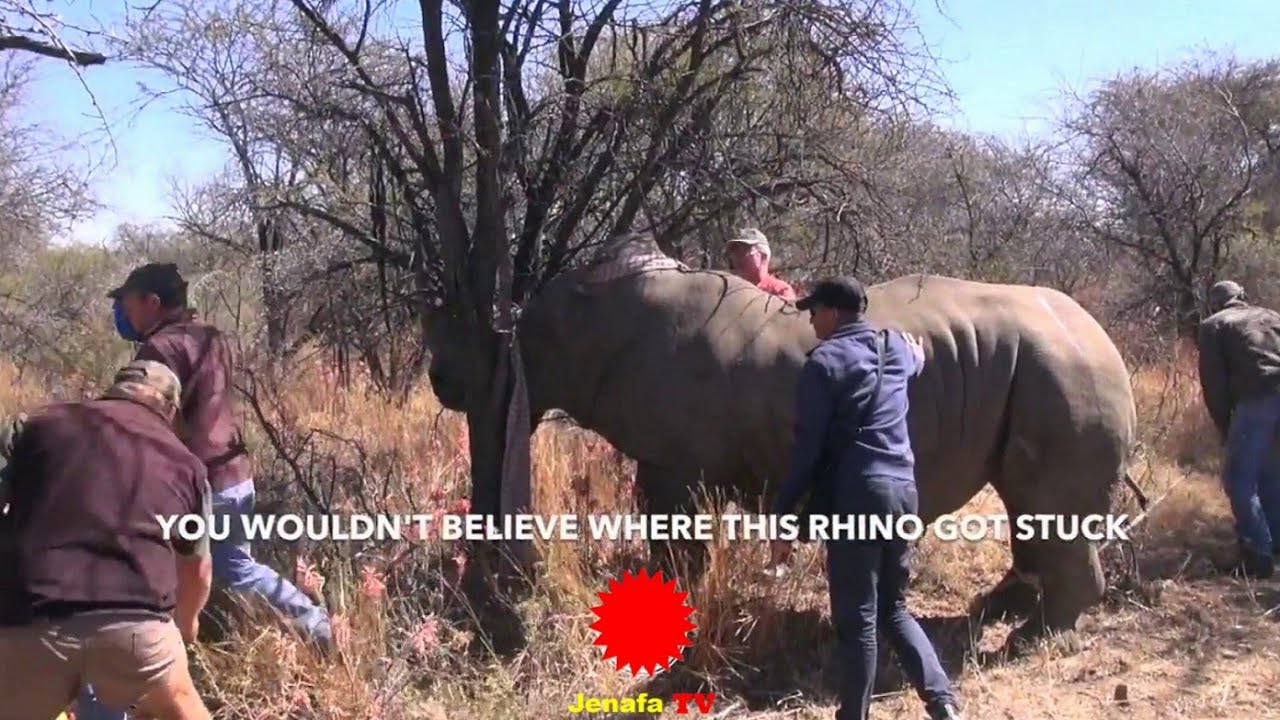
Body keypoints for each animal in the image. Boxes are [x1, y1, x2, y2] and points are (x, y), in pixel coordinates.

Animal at [424, 232, 1139, 649]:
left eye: (518, 358)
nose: (440, 380)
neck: (591, 319)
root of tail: (1104, 336)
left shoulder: (673, 458)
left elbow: (671, 534)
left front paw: (665, 603)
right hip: (1041, 369)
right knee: (1025, 501)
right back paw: (1000, 609)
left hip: (1061, 371)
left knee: (1046, 503)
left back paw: (1036, 639)